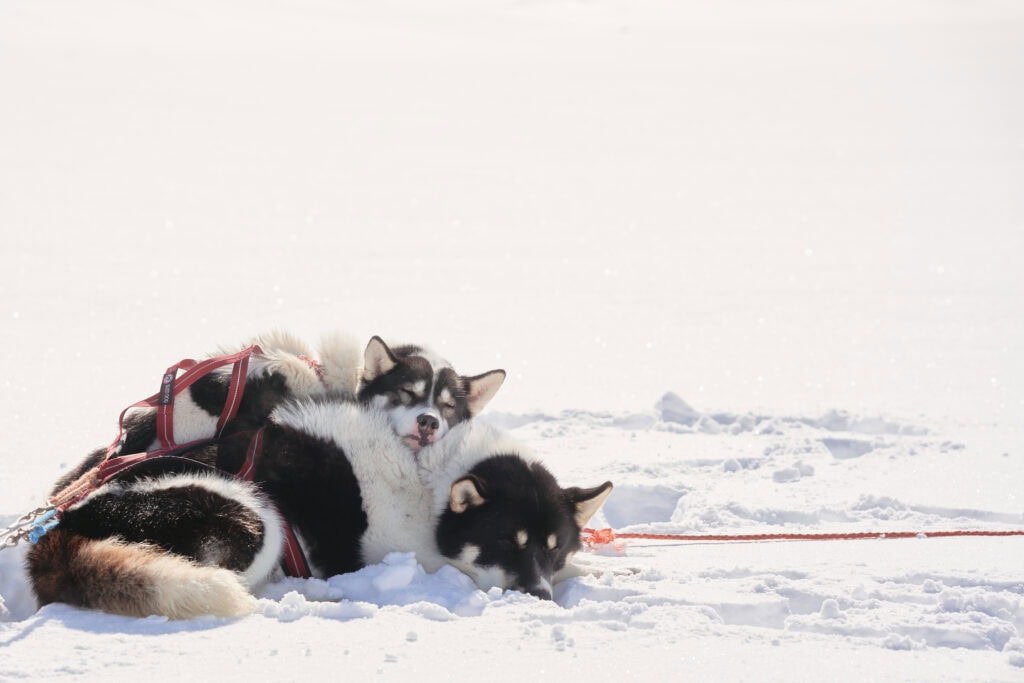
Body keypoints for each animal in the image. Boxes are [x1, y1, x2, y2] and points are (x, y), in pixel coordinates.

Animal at [27, 397, 612, 618]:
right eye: (506, 543)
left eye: (553, 551)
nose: (540, 596)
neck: (430, 481)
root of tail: (61, 523)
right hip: (253, 518)